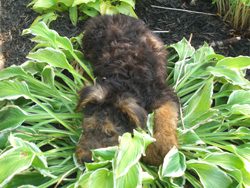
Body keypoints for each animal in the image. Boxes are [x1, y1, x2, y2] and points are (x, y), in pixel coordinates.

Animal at [75, 13, 179, 165]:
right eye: (87, 128)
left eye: (110, 133)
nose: (86, 160)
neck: (123, 83)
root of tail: (111, 15)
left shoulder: (163, 94)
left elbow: (165, 115)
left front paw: (163, 148)